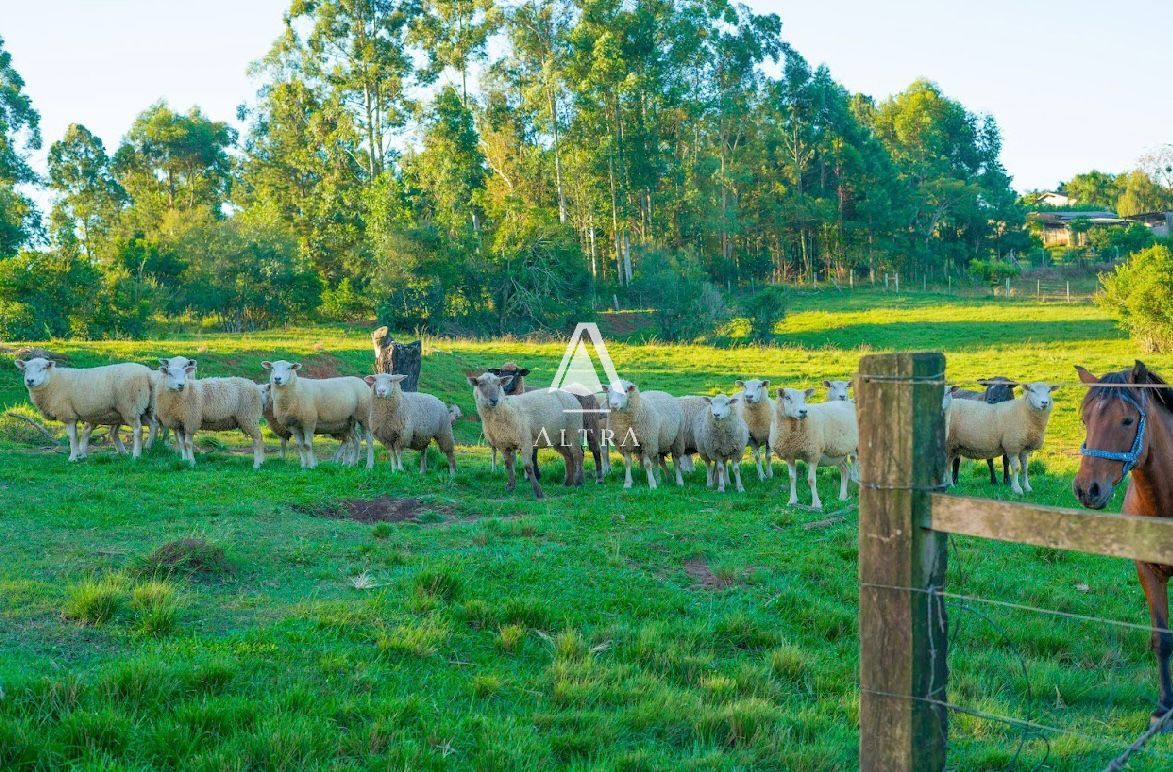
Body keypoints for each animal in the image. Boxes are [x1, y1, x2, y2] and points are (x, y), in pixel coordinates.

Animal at [16, 354, 154, 457]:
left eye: (43, 368)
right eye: (26, 369)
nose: (30, 381)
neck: (53, 381)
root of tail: (147, 373)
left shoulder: (68, 415)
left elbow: (72, 437)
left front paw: (73, 457)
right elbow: (78, 435)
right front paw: (78, 455)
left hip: (130, 406)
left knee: (138, 430)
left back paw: (136, 455)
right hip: (144, 408)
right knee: (153, 425)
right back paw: (148, 447)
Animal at [464, 368, 579, 499]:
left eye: (499, 384)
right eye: (481, 384)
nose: (494, 400)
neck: (505, 410)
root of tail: (569, 394)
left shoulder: (525, 441)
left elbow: (528, 467)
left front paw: (538, 491)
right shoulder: (503, 444)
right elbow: (508, 465)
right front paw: (510, 486)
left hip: (574, 429)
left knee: (578, 454)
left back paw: (579, 482)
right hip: (558, 437)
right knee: (568, 456)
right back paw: (567, 483)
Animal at [1074, 356, 1173, 722]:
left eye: (1127, 420)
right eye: (1085, 418)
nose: (1088, 489)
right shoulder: (1147, 570)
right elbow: (1162, 639)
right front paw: (1163, 707)